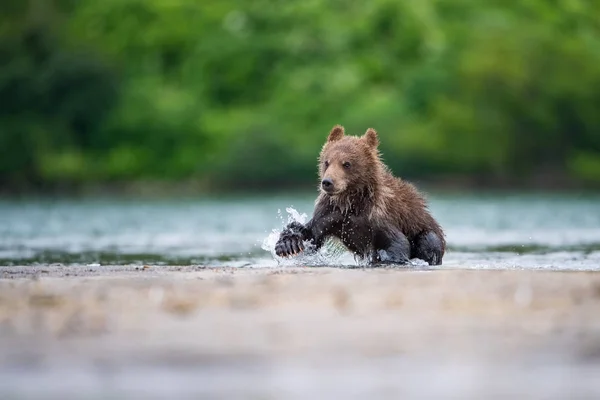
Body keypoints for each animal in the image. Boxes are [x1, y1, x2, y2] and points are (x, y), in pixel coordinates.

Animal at [276, 125, 446, 266]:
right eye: (327, 162)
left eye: (346, 163)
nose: (327, 182)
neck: (351, 201)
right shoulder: (330, 213)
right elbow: (310, 233)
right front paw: (288, 244)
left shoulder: (377, 215)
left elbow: (397, 242)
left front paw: (386, 259)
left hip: (425, 229)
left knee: (429, 241)